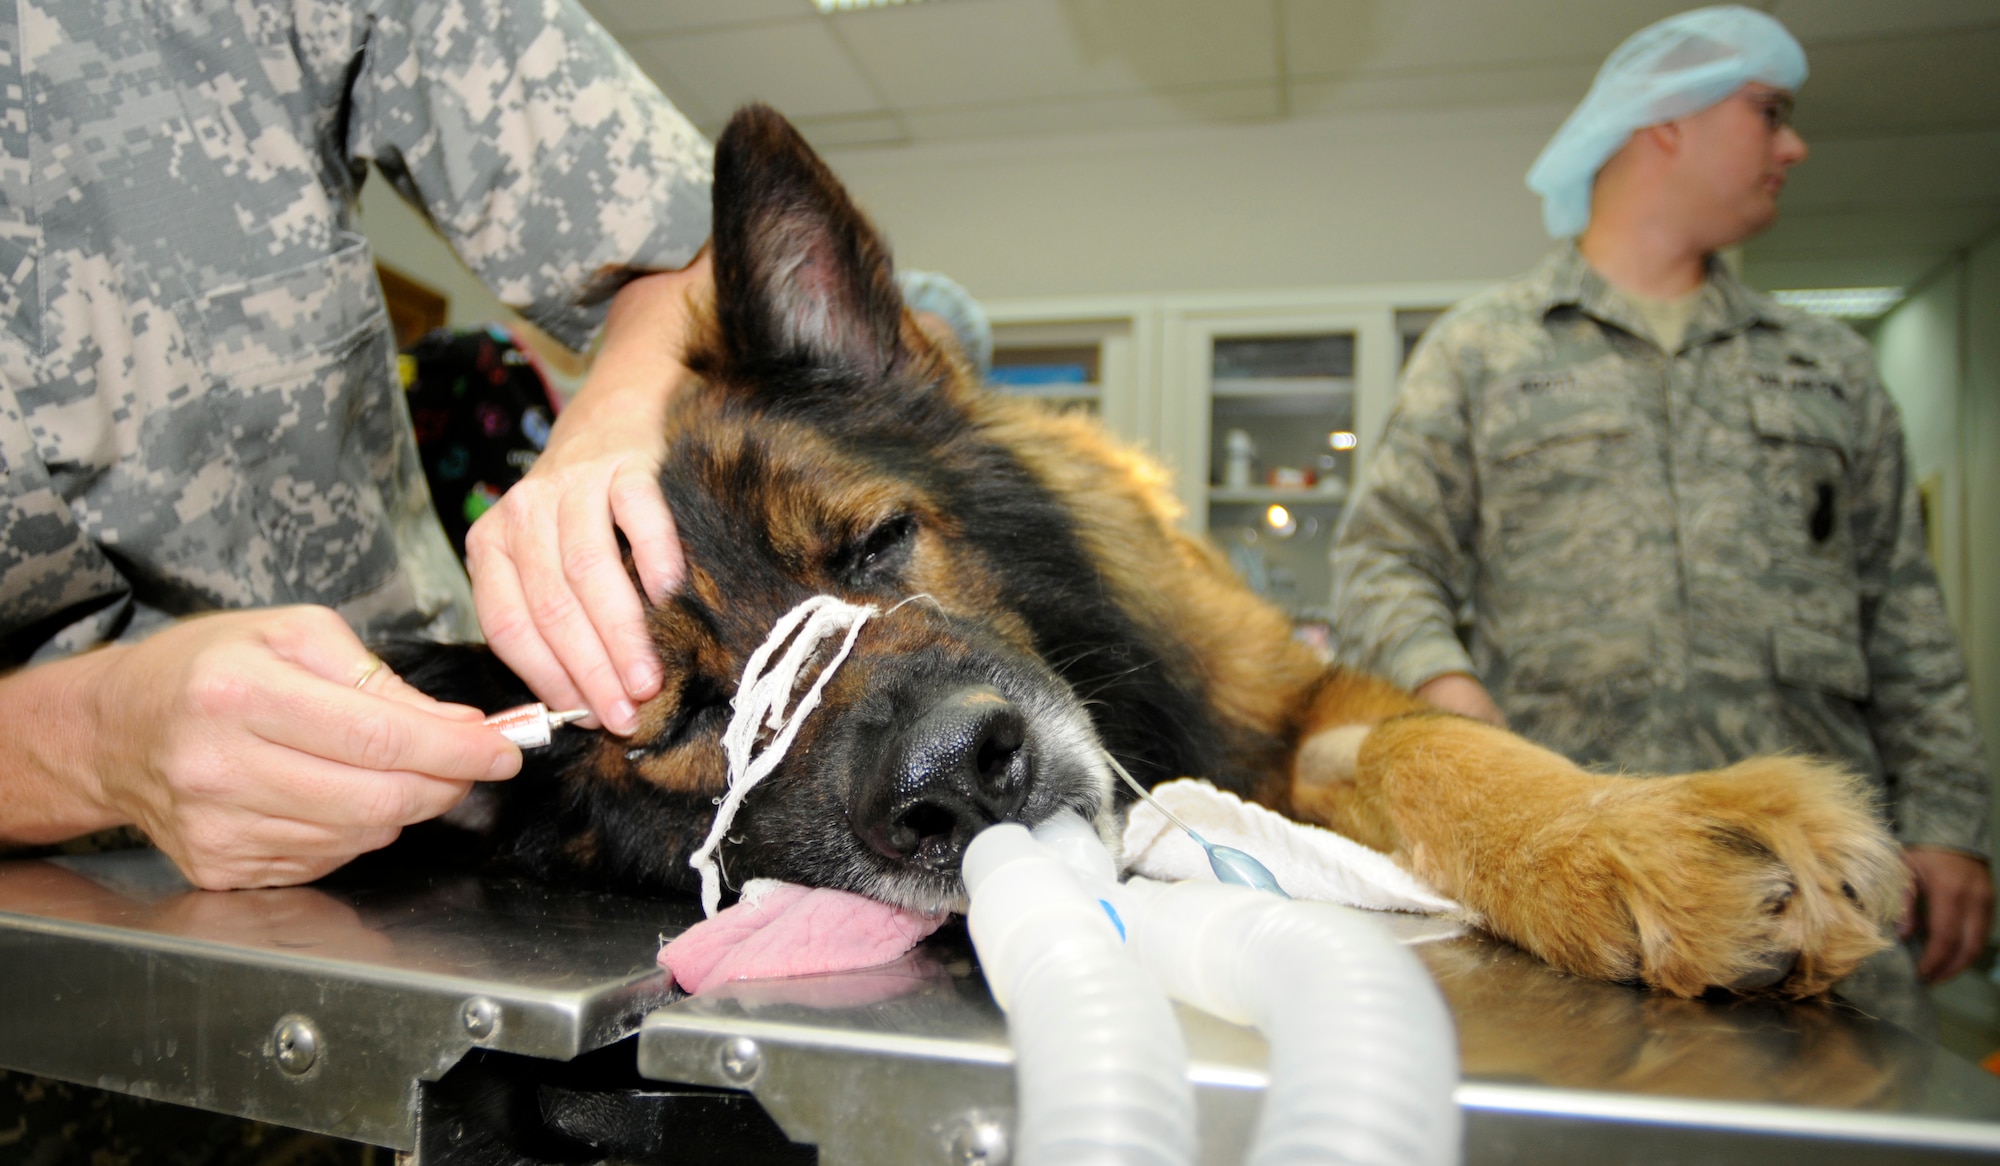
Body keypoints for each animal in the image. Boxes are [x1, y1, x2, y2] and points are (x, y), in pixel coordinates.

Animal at [390, 105, 1904, 1000]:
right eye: (690, 719)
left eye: (877, 540)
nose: (961, 776)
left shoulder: (1290, 693)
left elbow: (1416, 746)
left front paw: (1633, 835)